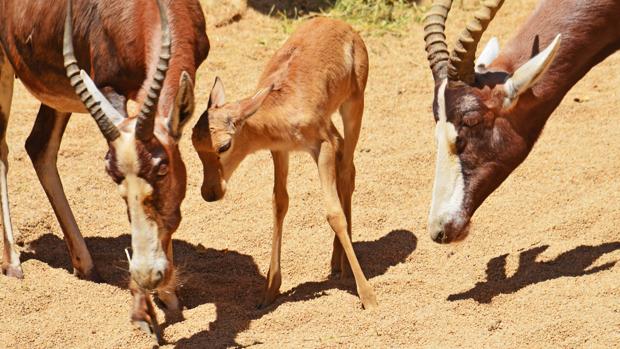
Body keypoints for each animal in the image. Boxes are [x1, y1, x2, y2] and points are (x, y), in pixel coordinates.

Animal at [0, 0, 209, 334]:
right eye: (112, 176)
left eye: (162, 169)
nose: (147, 274)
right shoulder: (107, 87)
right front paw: (144, 313)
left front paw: (169, 297)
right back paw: (13, 264)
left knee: (39, 146)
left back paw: (85, 266)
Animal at [191, 17, 376, 308]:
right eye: (193, 144)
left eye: (223, 146)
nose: (210, 193)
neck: (281, 105)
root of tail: (339, 23)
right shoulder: (280, 150)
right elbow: (279, 203)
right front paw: (269, 290)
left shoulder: (321, 147)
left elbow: (333, 213)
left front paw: (368, 296)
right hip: (332, 125)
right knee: (344, 157)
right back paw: (336, 262)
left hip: (354, 105)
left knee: (347, 170)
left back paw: (345, 267)